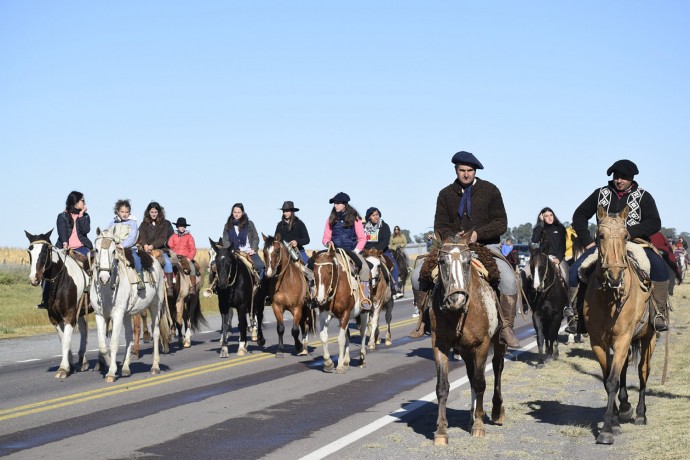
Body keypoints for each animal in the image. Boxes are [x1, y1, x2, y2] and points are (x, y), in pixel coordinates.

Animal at [90, 228, 170, 382]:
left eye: (113, 251)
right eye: (96, 250)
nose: (104, 278)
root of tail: (156, 262)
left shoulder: (117, 314)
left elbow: (114, 342)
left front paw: (111, 372)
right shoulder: (100, 315)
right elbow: (102, 345)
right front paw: (111, 364)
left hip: (155, 306)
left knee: (156, 332)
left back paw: (155, 366)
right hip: (127, 314)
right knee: (129, 336)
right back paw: (126, 368)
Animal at [430, 235, 506, 444]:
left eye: (466, 262)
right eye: (442, 261)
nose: (456, 299)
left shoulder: (482, 345)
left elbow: (480, 383)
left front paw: (479, 426)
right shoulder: (440, 345)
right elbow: (442, 387)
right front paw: (441, 431)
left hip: (498, 342)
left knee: (497, 367)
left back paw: (496, 411)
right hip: (465, 350)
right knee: (471, 375)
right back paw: (472, 416)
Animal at [584, 207, 652, 444]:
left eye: (625, 236)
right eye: (600, 236)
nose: (614, 276)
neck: (609, 299)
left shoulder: (623, 338)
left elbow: (613, 380)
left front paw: (606, 430)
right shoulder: (598, 341)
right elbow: (607, 380)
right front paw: (613, 421)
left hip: (648, 338)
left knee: (643, 371)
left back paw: (640, 413)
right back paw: (624, 406)